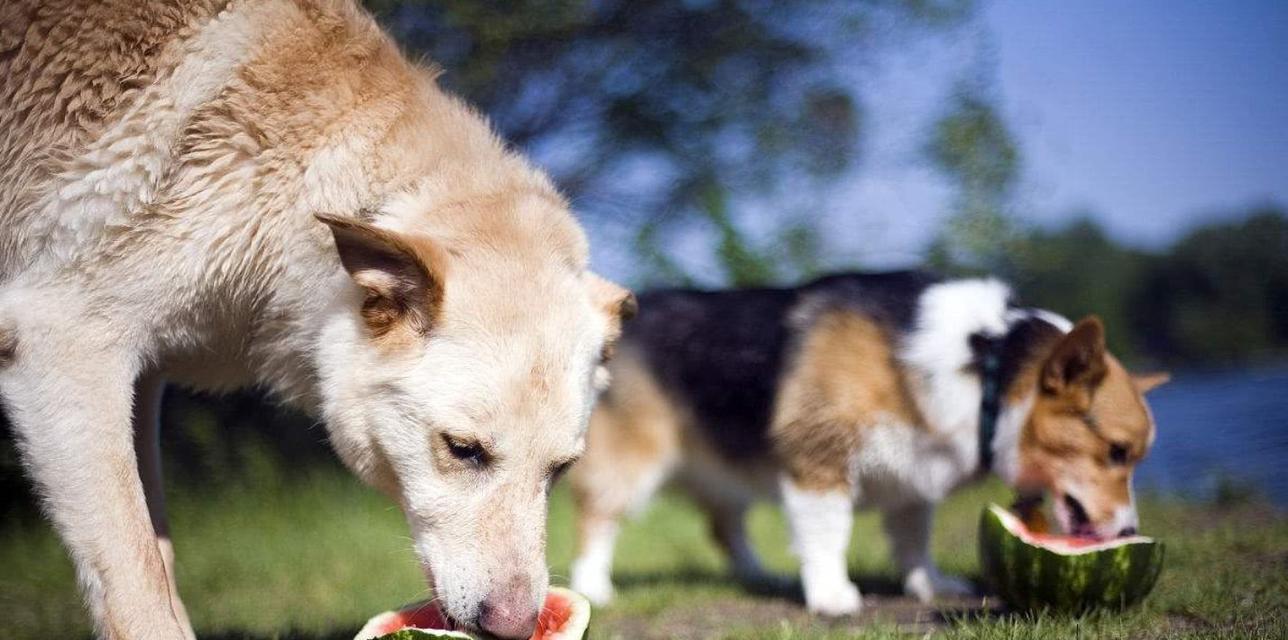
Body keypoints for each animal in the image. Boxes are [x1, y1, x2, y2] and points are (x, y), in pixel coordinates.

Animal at [0, 2, 631, 636]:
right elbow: (138, 578)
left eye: (561, 469)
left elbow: (159, 555)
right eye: (462, 450)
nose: (515, 628)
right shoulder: (66, 346)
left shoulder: (142, 379)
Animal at [569, 269, 1164, 612]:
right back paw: (594, 587)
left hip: (723, 470)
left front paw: (930, 586)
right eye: (1117, 452)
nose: (1128, 532)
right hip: (633, 462)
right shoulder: (819, 460)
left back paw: (758, 574)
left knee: (724, 525)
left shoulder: (916, 477)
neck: (988, 367)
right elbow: (828, 535)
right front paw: (833, 597)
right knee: (598, 520)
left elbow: (914, 541)